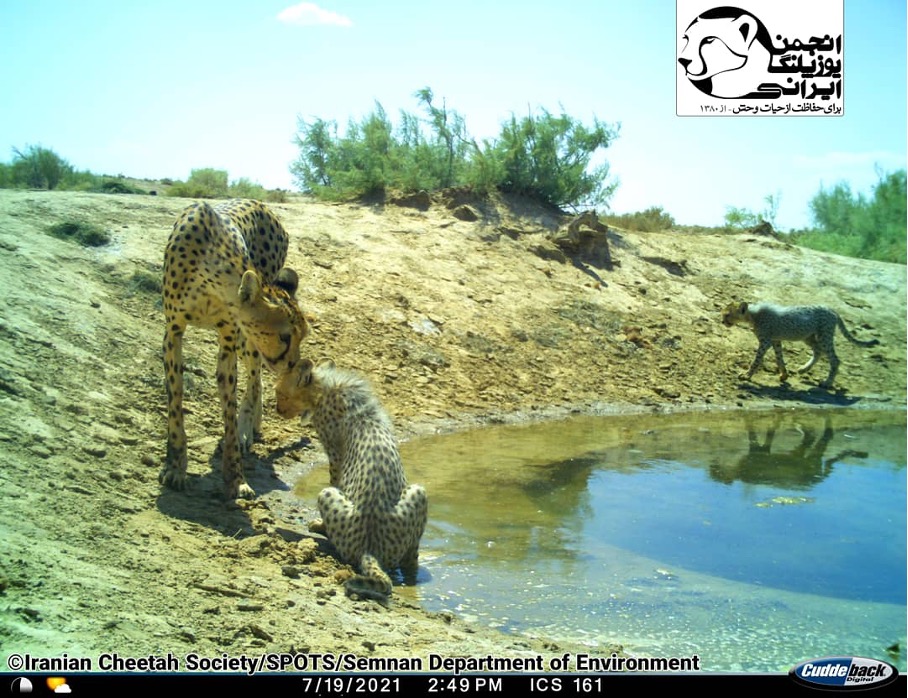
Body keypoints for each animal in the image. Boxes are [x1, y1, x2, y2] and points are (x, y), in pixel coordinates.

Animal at [160, 198, 308, 498]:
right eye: (285, 337)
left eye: (302, 337)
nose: (292, 364)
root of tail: (262, 203)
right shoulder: (173, 331)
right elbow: (175, 400)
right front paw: (176, 467)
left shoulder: (229, 340)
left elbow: (229, 407)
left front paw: (236, 477)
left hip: (246, 341)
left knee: (255, 378)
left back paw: (247, 428)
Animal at [274, 358, 428, 600]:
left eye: (279, 393)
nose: (277, 409)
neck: (326, 387)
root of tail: (370, 549)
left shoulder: (335, 459)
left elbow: (335, 480)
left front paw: (320, 525)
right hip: (419, 493)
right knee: (411, 559)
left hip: (326, 495)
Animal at [720, 300, 876, 386]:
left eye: (727, 314)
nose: (722, 322)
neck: (753, 315)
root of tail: (831, 309)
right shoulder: (776, 340)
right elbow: (779, 358)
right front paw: (784, 375)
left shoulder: (766, 342)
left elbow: (756, 360)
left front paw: (747, 376)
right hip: (808, 337)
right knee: (818, 351)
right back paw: (803, 369)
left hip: (824, 336)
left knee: (834, 359)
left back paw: (827, 383)